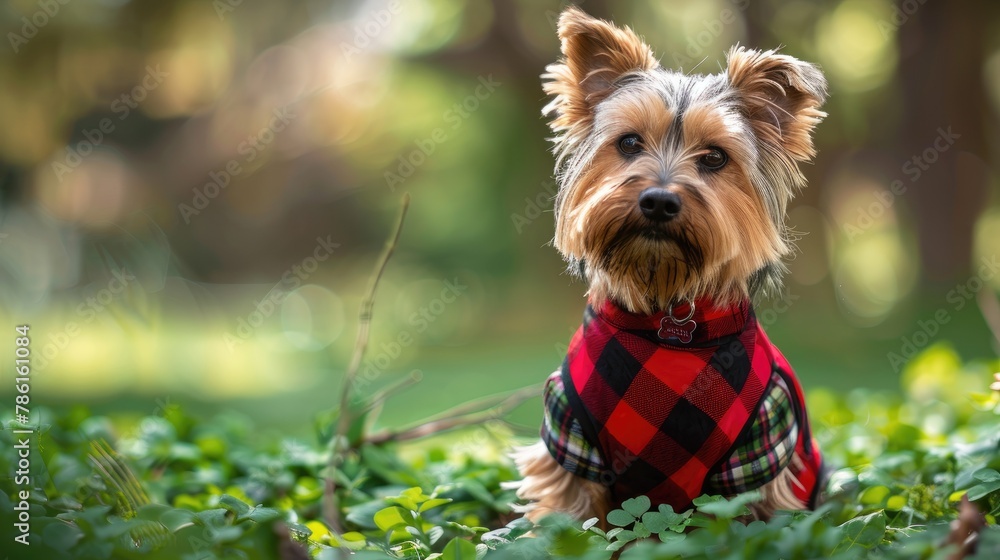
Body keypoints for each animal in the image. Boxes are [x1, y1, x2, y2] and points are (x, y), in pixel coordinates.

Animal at [508, 6, 828, 524]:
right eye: (629, 143)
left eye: (715, 157)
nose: (658, 200)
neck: (667, 319)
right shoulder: (570, 436)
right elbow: (573, 519)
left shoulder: (760, 445)